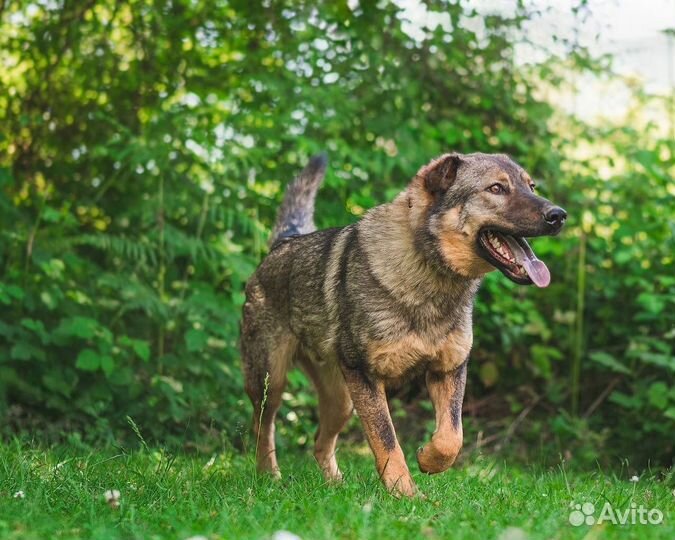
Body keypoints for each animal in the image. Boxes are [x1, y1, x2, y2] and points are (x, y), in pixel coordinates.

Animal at [240, 152, 568, 498]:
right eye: (496, 188)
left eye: (531, 186)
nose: (559, 215)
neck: (429, 274)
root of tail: (283, 243)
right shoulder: (365, 376)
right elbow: (387, 440)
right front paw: (405, 494)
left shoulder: (448, 370)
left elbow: (452, 437)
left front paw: (428, 459)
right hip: (271, 381)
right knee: (262, 427)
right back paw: (269, 477)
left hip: (342, 401)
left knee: (319, 443)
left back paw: (336, 487)